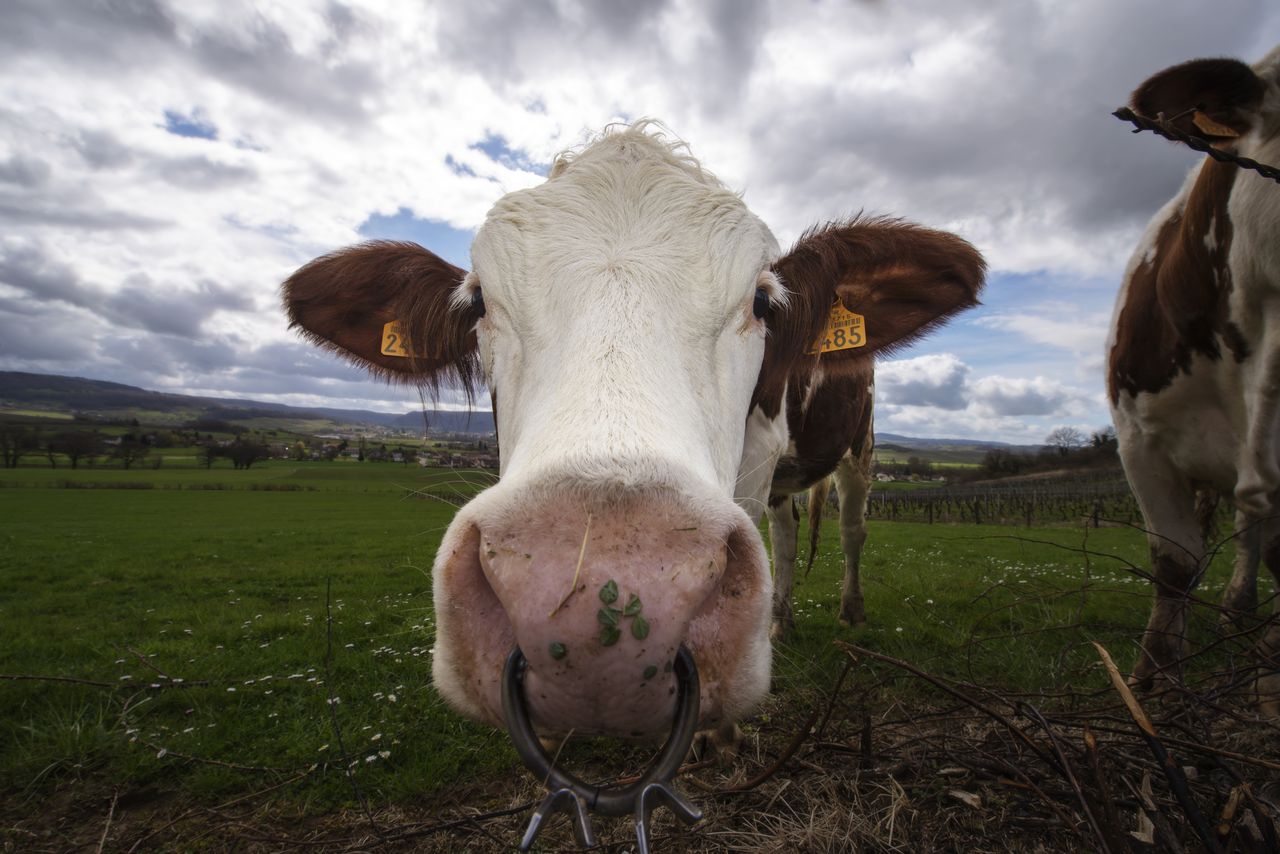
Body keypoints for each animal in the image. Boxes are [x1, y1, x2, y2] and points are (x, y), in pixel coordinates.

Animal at [284, 123, 985, 741]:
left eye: (763, 302)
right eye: (478, 300)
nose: (597, 597)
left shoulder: (760, 457)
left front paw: (715, 734)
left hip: (859, 447)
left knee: (851, 527)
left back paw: (849, 610)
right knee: (786, 539)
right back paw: (781, 621)